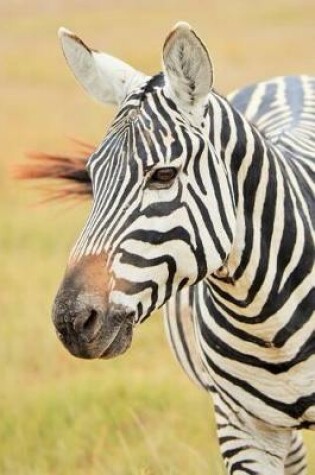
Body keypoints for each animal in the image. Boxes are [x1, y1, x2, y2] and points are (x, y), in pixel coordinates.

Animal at [28, 21, 314, 475]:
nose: (71, 321)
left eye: (163, 175)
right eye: (93, 176)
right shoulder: (241, 425)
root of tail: (287, 79)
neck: (265, 317)